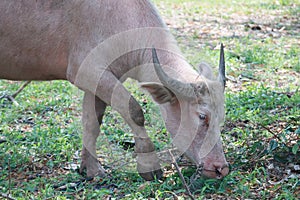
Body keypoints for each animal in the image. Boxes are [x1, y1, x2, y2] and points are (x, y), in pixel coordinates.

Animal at [0, 0, 229, 180]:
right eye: (202, 116)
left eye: (221, 118)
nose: (220, 168)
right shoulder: (86, 72)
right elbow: (134, 110)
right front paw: (149, 167)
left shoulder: (99, 80)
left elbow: (92, 123)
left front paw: (91, 169)